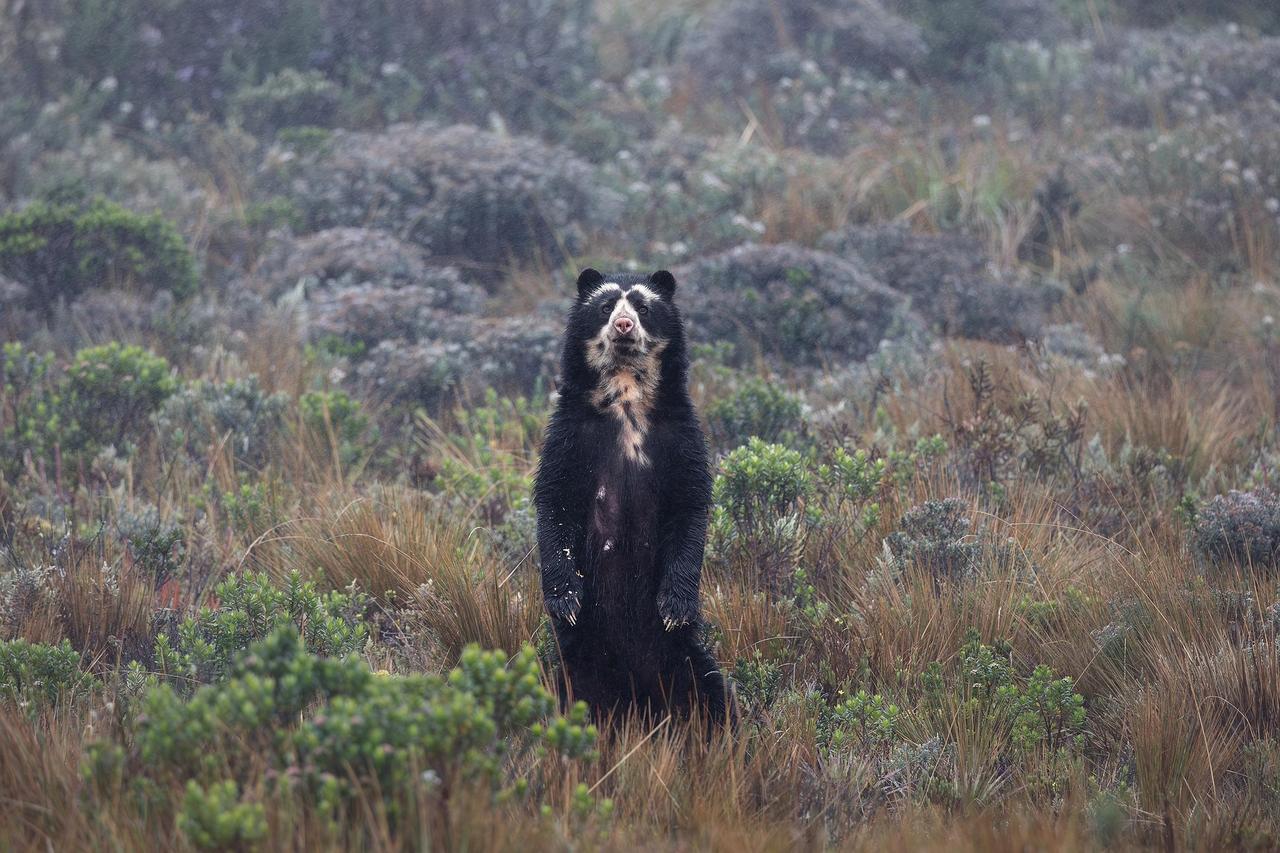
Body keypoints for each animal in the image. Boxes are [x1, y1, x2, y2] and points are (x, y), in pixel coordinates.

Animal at [534, 267, 734, 728]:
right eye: (606, 305)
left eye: (643, 307)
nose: (624, 326)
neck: (625, 397)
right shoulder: (570, 435)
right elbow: (554, 501)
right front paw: (566, 600)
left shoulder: (680, 436)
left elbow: (690, 506)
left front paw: (675, 607)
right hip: (578, 665)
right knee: (572, 700)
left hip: (686, 661)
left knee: (712, 693)